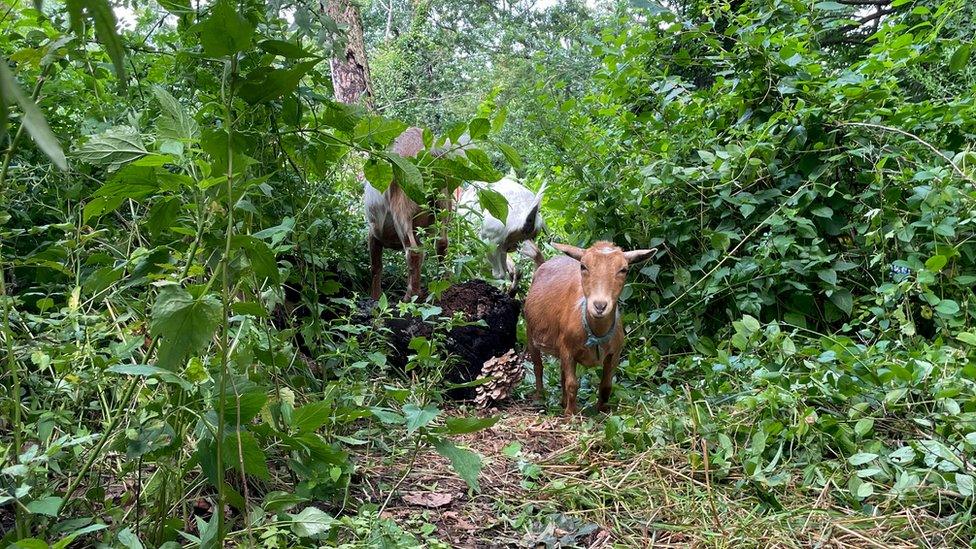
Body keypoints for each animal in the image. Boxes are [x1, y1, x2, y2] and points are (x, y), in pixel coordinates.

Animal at [528, 240, 656, 416]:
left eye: (624, 269)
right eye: (583, 266)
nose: (599, 306)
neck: (596, 334)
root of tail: (543, 263)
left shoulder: (614, 353)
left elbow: (606, 386)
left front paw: (602, 410)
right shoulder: (567, 349)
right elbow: (572, 384)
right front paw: (570, 414)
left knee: (561, 372)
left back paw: (562, 402)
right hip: (529, 331)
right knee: (538, 367)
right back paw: (540, 397)